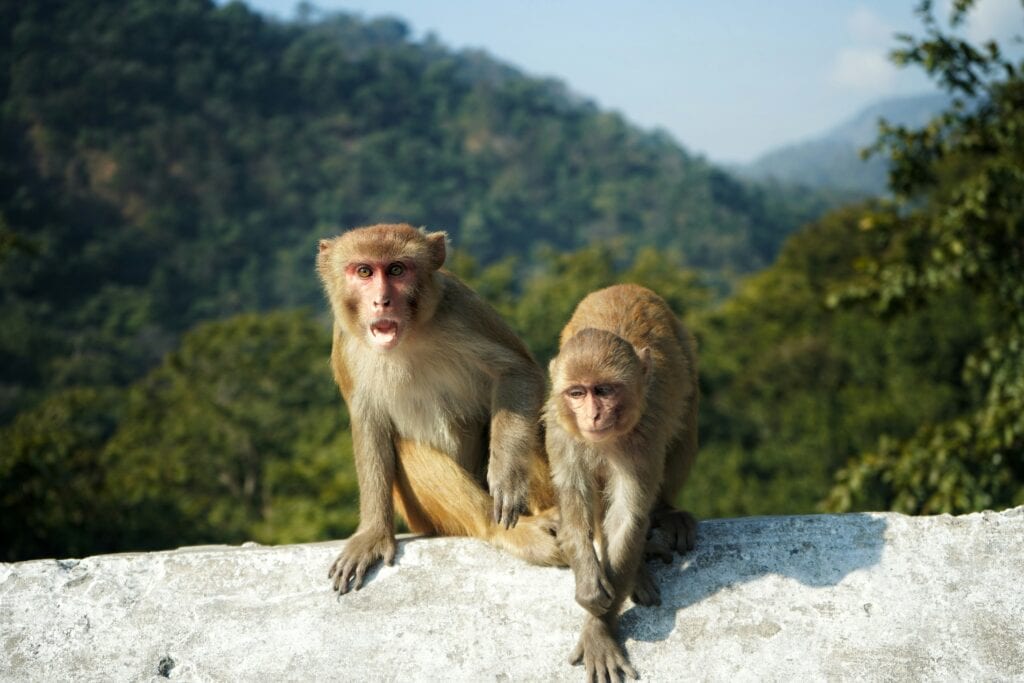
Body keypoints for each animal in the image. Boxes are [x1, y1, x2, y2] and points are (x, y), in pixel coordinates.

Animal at [316, 223, 561, 594]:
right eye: (364, 271)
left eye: (397, 270)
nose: (381, 300)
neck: (408, 337)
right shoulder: (346, 343)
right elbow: (369, 423)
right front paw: (373, 533)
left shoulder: (461, 308)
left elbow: (517, 371)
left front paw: (507, 475)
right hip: (424, 516)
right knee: (407, 448)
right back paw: (499, 529)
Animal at [543, 283, 699, 680]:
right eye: (578, 393)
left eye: (604, 390)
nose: (594, 416)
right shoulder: (561, 428)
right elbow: (575, 506)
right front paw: (590, 589)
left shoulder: (644, 434)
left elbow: (628, 516)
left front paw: (599, 628)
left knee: (683, 430)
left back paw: (665, 514)